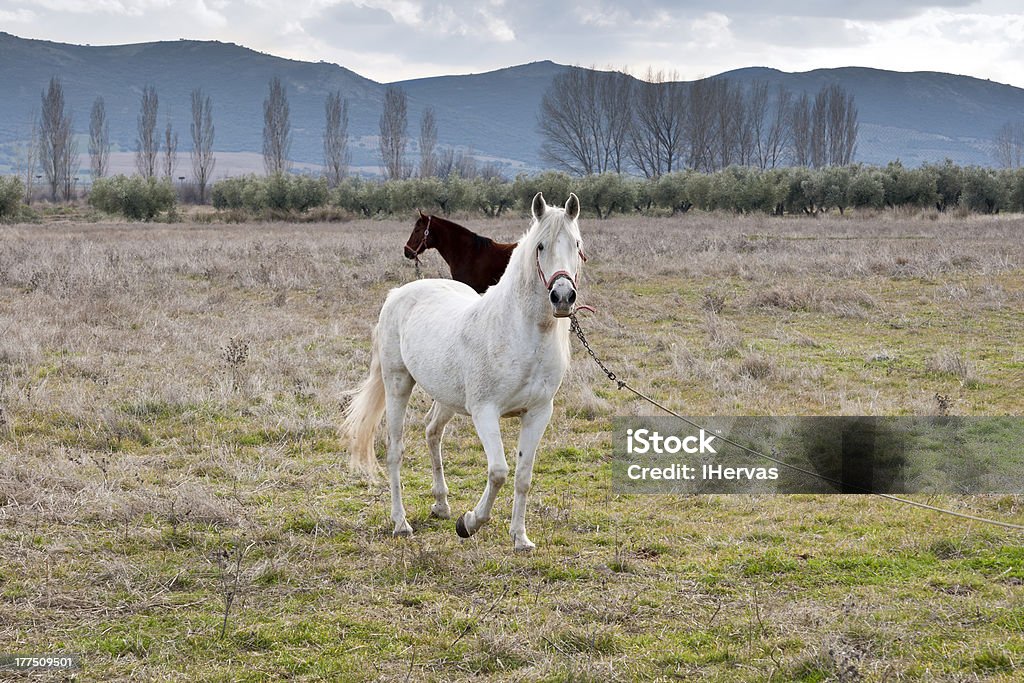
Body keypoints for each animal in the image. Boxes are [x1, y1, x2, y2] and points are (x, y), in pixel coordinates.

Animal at [342, 191, 585, 548]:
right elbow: (498, 472)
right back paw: (401, 522)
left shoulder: (539, 413)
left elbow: (523, 476)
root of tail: (398, 293)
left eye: (577, 244)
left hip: (446, 398)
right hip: (398, 383)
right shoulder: (485, 411)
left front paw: (520, 538)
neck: (521, 333)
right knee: (395, 450)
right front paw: (469, 522)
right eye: (540, 246)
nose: (563, 296)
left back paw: (441, 505)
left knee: (432, 432)